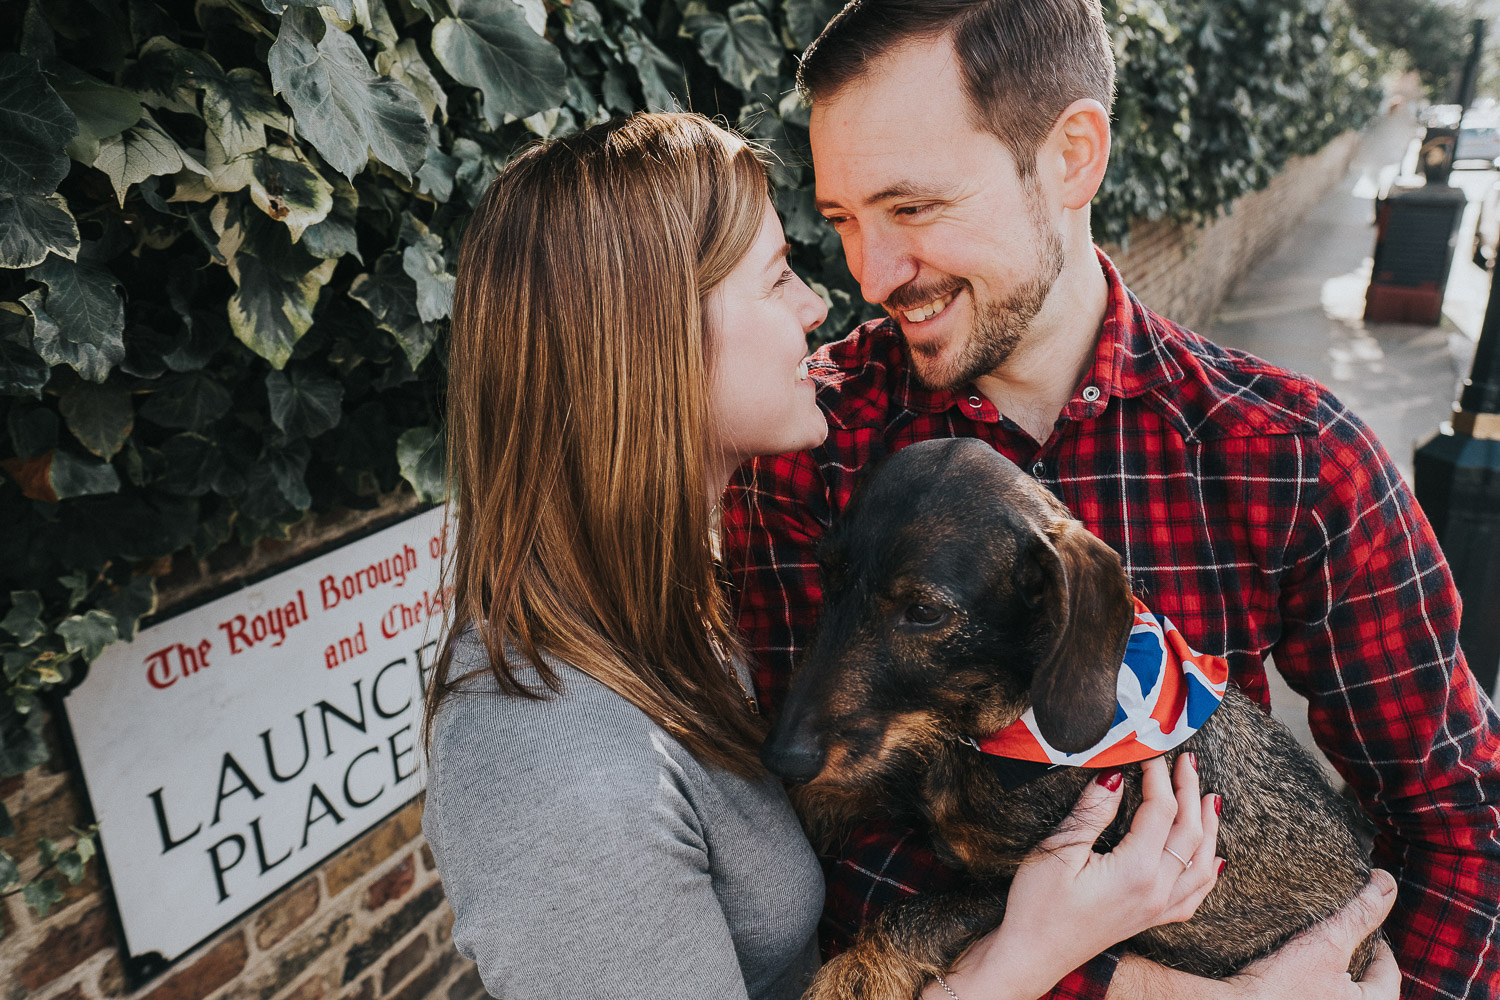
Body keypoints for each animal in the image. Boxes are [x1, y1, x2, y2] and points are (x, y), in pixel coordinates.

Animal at [768, 437, 1374, 1000]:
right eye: (826, 575)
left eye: (924, 612)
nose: (783, 757)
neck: (992, 730)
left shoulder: (1013, 882)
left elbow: (920, 915)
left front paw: (854, 976)